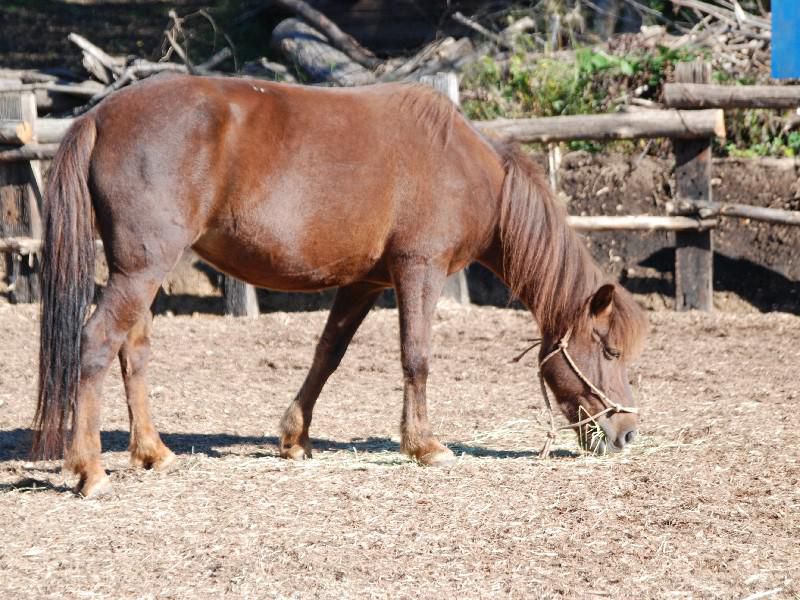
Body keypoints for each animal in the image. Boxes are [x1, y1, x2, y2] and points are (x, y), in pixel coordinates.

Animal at [32, 75, 648, 496]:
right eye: (609, 351)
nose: (626, 434)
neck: (466, 168)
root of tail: (100, 117)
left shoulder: (363, 285)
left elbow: (327, 355)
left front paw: (294, 438)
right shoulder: (418, 270)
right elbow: (416, 357)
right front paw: (425, 446)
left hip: (142, 271)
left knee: (133, 352)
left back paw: (153, 453)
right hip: (141, 270)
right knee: (96, 344)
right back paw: (89, 469)